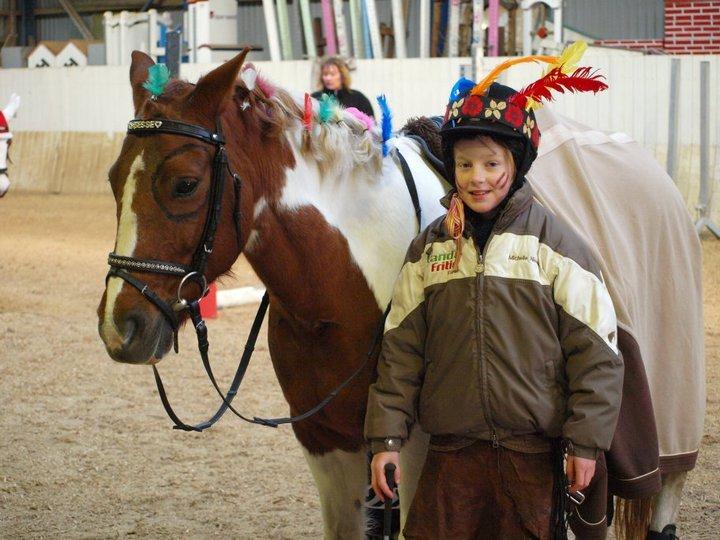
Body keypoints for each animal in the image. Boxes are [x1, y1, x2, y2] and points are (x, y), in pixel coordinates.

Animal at [97, 51, 704, 540]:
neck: (342, 290)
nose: (119, 327)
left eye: (185, 184)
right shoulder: (327, 443)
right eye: (111, 179)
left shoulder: (418, 452)